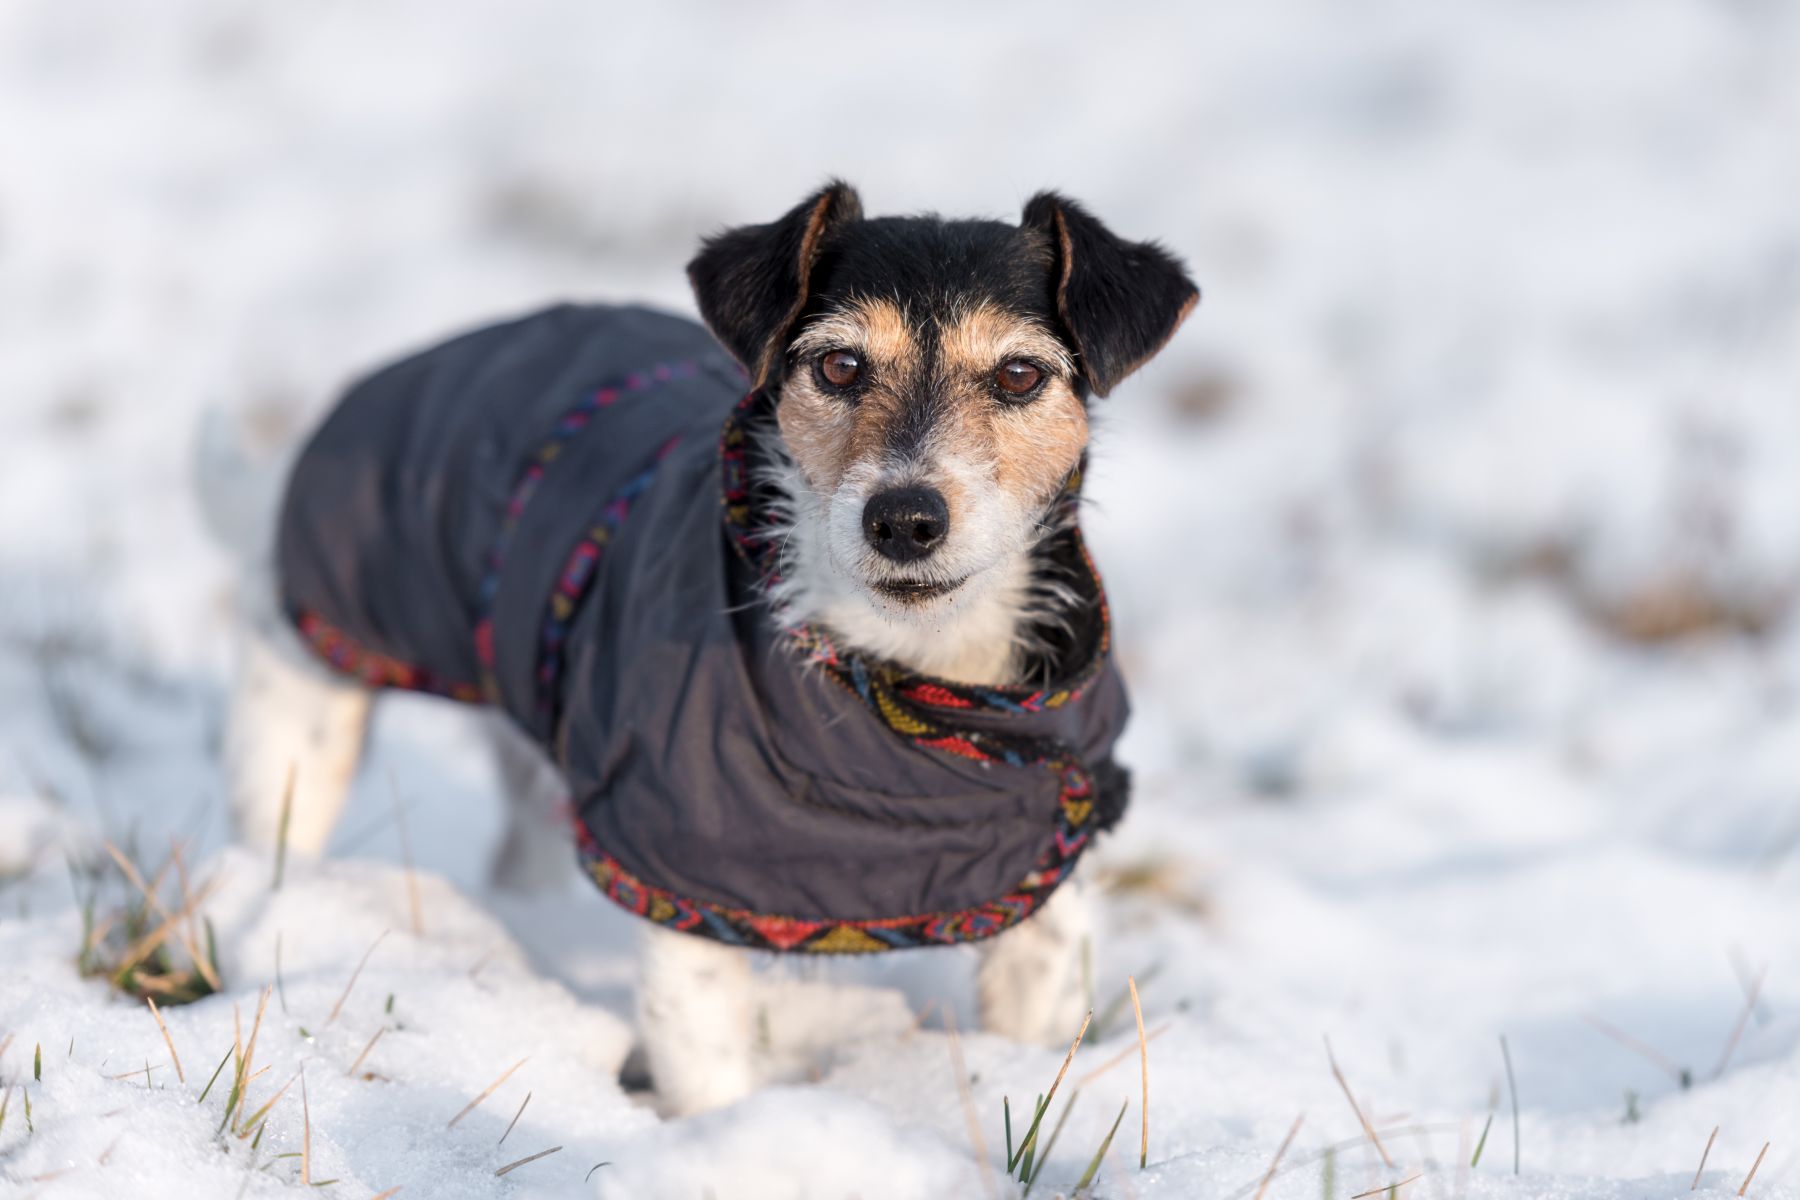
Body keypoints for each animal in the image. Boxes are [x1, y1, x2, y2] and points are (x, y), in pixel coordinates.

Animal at [200, 180, 1195, 1115]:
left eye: (1021, 376)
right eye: (838, 365)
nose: (905, 519)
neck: (908, 677)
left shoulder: (1046, 885)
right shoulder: (683, 876)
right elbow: (711, 1075)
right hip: (298, 705)